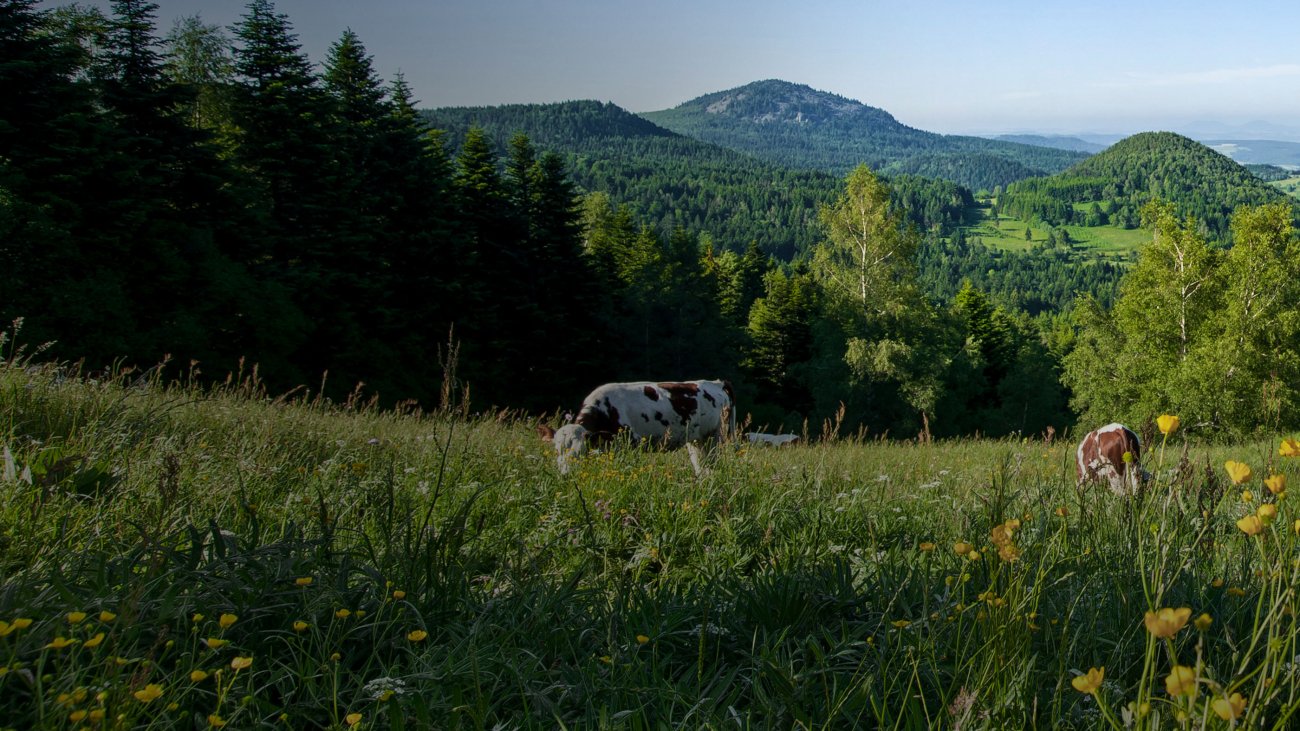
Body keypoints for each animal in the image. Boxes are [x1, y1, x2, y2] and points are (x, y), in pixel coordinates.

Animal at [538, 377, 738, 476]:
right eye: (556, 450)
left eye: (580, 452)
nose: (565, 474)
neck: (606, 410)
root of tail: (716, 383)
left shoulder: (629, 444)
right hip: (696, 440)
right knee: (701, 465)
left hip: (715, 436)